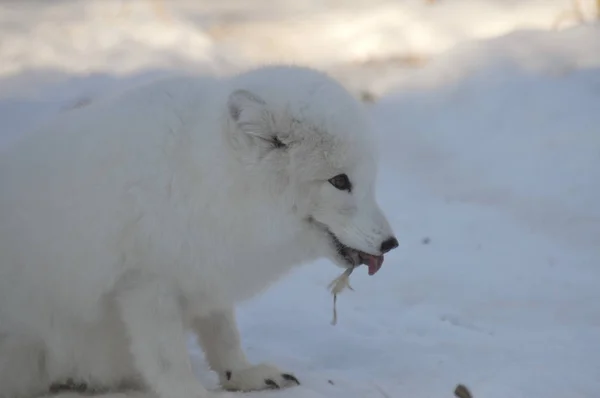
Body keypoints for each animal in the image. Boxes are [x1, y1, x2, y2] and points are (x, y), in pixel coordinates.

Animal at [0, 65, 398, 398]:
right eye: (339, 181)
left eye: (368, 180)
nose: (391, 244)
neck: (204, 179)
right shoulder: (145, 286)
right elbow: (167, 360)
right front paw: (191, 392)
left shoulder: (207, 272)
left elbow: (225, 335)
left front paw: (243, 373)